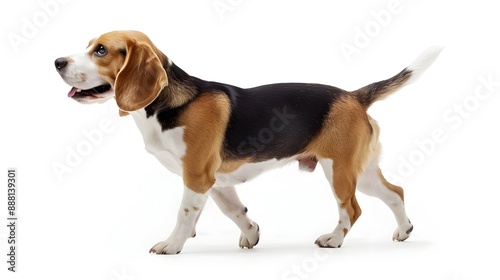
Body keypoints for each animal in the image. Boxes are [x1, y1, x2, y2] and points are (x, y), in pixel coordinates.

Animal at [54, 30, 442, 254]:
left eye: (100, 50)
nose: (57, 61)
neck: (168, 103)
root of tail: (353, 96)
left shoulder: (196, 176)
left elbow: (184, 214)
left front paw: (172, 244)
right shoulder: (213, 181)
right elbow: (233, 210)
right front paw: (251, 235)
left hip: (340, 171)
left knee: (353, 209)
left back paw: (334, 239)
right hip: (363, 172)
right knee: (396, 193)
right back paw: (404, 231)